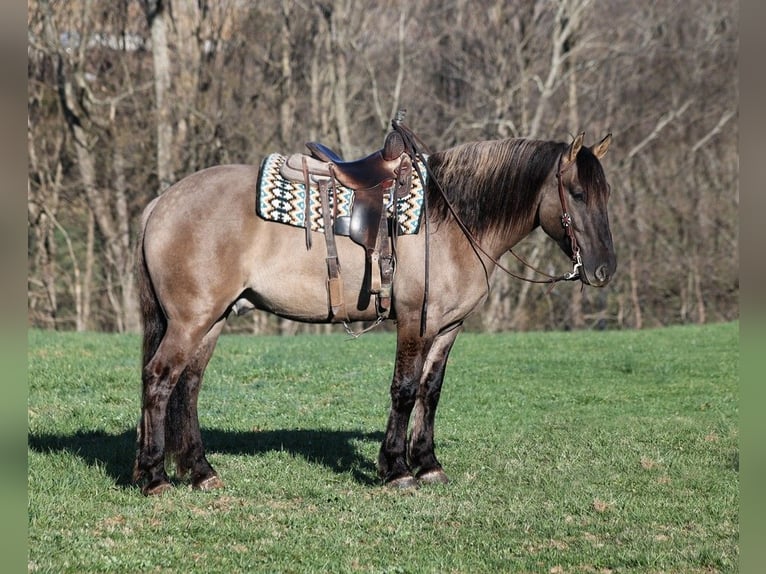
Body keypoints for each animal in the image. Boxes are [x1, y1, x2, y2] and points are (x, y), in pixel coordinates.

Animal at [134, 129, 616, 496]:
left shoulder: (447, 328)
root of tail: (161, 203)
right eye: (576, 193)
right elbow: (404, 390)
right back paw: (154, 476)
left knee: (188, 387)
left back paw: (200, 472)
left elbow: (430, 392)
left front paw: (428, 463)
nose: (603, 270)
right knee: (159, 381)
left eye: (605, 193)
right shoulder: (415, 322)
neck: (450, 220)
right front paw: (398, 469)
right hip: (191, 322)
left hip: (211, 321)